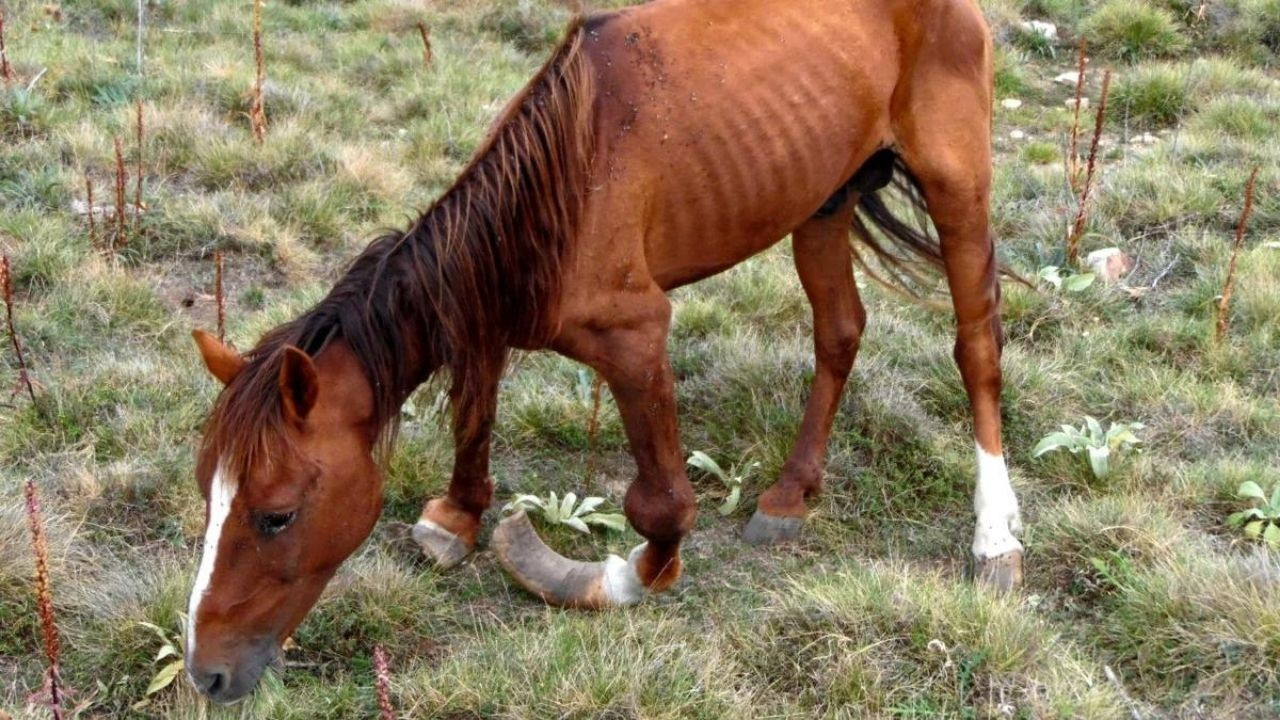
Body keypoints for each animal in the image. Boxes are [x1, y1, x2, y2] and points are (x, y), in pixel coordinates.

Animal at [183, 0, 1018, 696]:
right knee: (839, 333)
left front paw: (606, 577)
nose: (205, 674)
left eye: (277, 516)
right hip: (823, 199)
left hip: (957, 186)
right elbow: (472, 419)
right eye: (208, 496)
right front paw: (457, 517)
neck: (555, 194)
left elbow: (662, 508)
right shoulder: (483, 315)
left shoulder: (636, 339)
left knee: (976, 346)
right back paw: (790, 494)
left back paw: (995, 536)